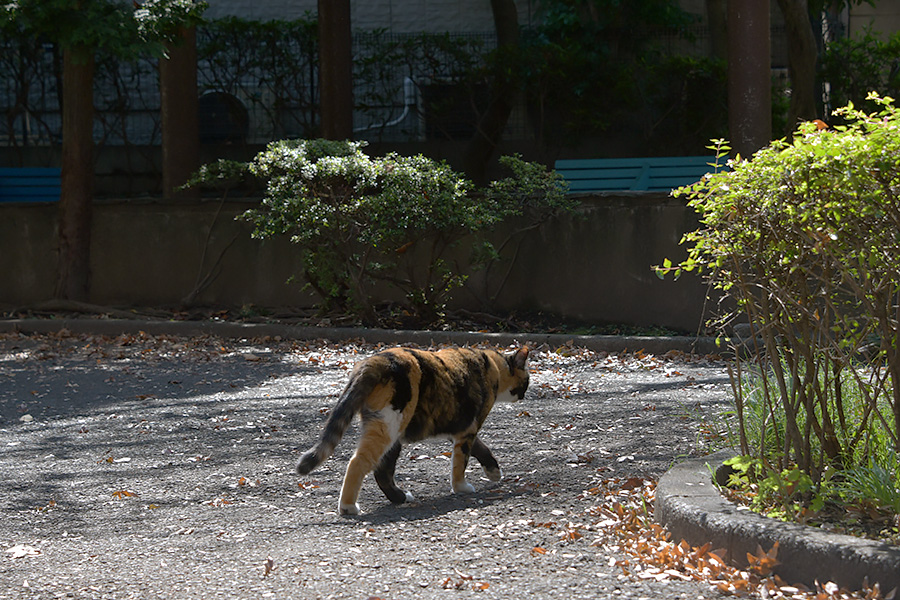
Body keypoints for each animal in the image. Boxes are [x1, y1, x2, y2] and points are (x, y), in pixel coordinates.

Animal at [298, 344, 532, 512]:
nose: (524, 396)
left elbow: (481, 448)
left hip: (391, 434)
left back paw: (400, 498)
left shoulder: (458, 429)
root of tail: (376, 361)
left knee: (382, 472)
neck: (493, 365)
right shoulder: (469, 429)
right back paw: (348, 507)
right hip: (388, 426)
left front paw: (493, 471)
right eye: (527, 380)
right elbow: (461, 461)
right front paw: (461, 487)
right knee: (358, 463)